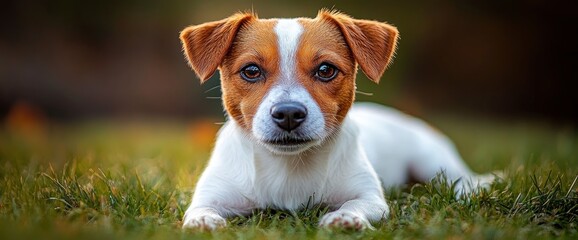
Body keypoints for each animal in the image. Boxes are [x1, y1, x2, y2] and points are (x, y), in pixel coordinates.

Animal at [178, 9, 492, 231]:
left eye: (326, 70)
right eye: (251, 71)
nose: (289, 113)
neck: (289, 167)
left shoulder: (370, 197)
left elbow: (356, 205)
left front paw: (345, 219)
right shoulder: (211, 195)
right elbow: (199, 211)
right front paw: (204, 223)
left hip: (432, 161)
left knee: (461, 180)